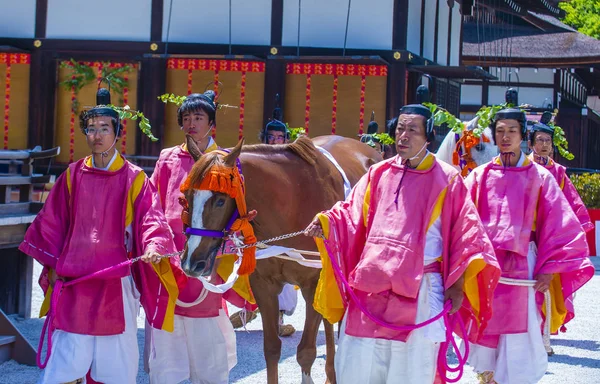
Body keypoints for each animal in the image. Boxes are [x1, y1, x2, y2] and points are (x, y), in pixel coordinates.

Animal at [180, 135, 382, 384]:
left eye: (220, 200)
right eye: (187, 197)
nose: (192, 261)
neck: (292, 204)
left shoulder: (313, 284)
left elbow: (306, 351)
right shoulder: (264, 285)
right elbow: (271, 349)